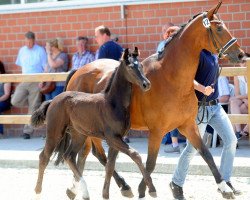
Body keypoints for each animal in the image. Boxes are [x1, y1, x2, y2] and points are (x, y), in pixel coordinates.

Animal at [31, 47, 152, 200]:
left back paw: (83, 191)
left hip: (79, 135)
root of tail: (53, 100)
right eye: (131, 67)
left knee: (70, 156)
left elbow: (110, 166)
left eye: (141, 65)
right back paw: (38, 192)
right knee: (44, 157)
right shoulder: (112, 137)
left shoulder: (117, 139)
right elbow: (135, 155)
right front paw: (152, 189)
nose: (146, 84)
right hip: (55, 132)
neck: (112, 103)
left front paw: (108, 193)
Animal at [63, 0, 244, 199]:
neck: (171, 78)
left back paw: (79, 187)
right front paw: (145, 189)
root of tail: (78, 72)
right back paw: (115, 186)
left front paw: (224, 188)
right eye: (219, 28)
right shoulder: (157, 131)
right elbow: (150, 163)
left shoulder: (188, 125)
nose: (241, 54)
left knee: (89, 154)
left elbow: (206, 154)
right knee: (96, 155)